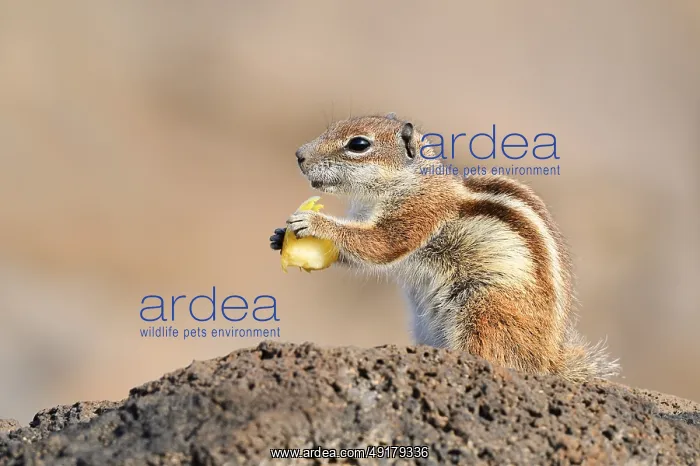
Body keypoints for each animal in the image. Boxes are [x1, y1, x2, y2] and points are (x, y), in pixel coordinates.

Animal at [269, 113, 619, 382]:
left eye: (358, 144)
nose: (299, 155)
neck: (405, 181)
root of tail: (547, 358)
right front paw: (278, 236)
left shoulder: (419, 211)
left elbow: (382, 244)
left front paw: (315, 223)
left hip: (484, 310)